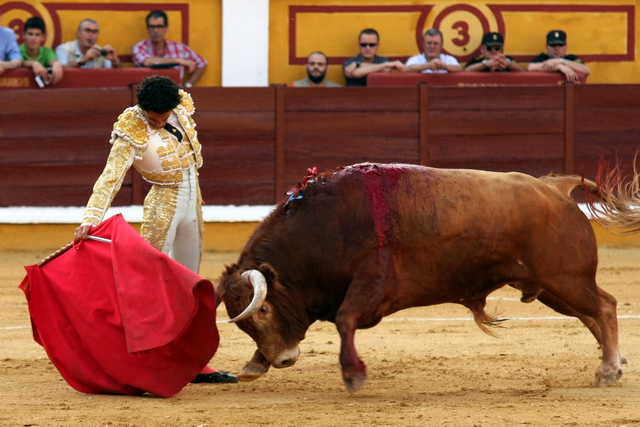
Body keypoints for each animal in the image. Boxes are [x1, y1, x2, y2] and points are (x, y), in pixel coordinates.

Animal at [216, 164, 640, 394]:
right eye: (246, 322)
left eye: (265, 309)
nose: (284, 360)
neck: (325, 227)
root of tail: (554, 186)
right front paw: (254, 365)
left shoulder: (372, 281)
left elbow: (345, 320)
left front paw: (353, 375)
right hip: (553, 286)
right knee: (591, 315)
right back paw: (614, 362)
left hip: (566, 278)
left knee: (605, 307)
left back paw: (607, 369)